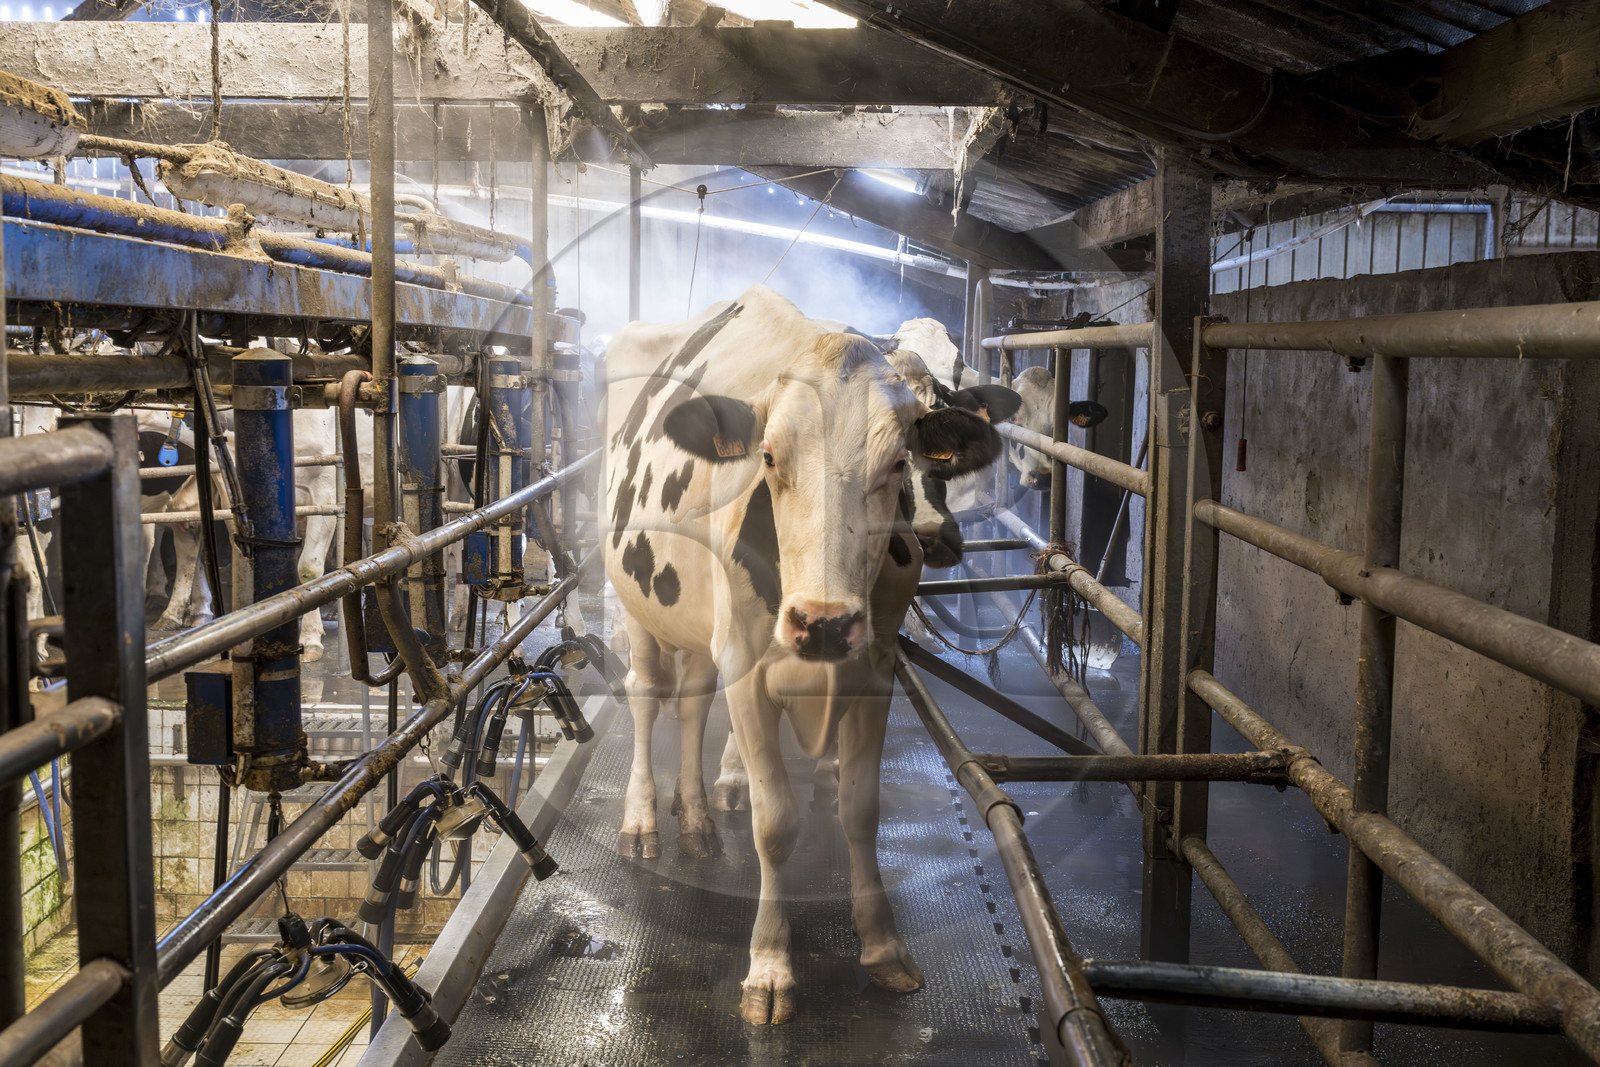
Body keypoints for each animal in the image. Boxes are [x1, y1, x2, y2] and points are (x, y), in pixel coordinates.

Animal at [603, 285, 1008, 1025]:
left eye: (899, 463)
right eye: (767, 457)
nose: (821, 622)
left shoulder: (873, 670)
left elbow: (860, 808)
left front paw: (882, 946)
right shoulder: (746, 667)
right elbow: (775, 822)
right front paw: (769, 968)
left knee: (692, 701)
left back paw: (696, 819)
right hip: (637, 600)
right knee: (647, 695)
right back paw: (644, 820)